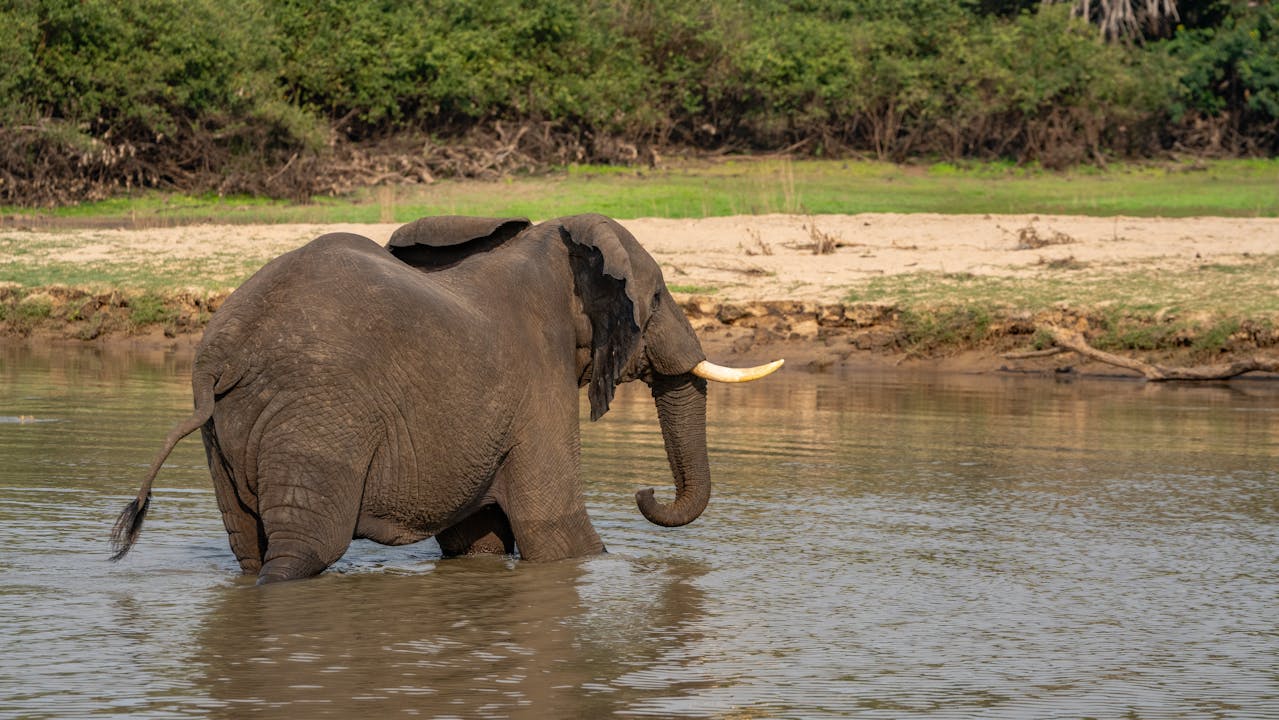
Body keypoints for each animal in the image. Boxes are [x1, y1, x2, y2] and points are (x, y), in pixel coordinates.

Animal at [110, 213, 782, 584]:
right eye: (660, 297)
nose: (644, 491)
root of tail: (221, 356)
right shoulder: (538, 374)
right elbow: (557, 534)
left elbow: (478, 542)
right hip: (317, 415)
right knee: (301, 552)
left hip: (229, 430)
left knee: (250, 548)